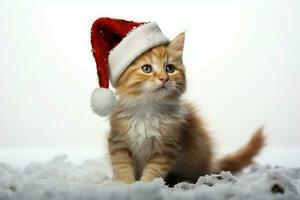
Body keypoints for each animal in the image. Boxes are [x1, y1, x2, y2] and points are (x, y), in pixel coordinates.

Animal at [106, 32, 264, 185]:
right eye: (146, 68)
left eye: (170, 68)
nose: (164, 78)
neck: (148, 110)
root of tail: (211, 164)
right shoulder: (118, 142)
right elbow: (122, 167)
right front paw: (125, 185)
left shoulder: (167, 148)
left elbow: (153, 172)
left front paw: (144, 186)